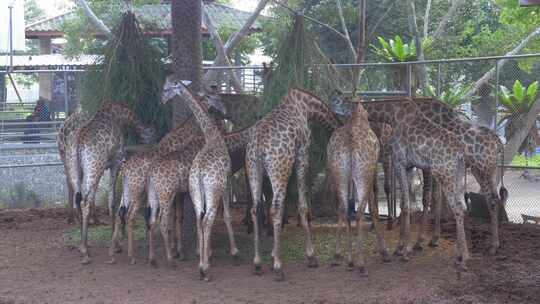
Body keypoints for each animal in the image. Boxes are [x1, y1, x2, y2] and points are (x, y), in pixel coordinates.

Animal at [66, 102, 156, 264]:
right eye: (152, 136)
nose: (152, 146)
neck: (118, 115)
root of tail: (77, 140)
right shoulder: (116, 162)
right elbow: (112, 200)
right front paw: (116, 244)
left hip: (74, 169)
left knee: (78, 200)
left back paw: (83, 245)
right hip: (94, 167)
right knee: (85, 201)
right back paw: (85, 253)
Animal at [159, 76, 229, 282]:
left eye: (167, 87)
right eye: (217, 97)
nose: (225, 111)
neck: (212, 136)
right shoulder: (226, 184)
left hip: (194, 191)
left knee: (198, 219)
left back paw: (198, 265)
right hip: (212, 192)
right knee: (207, 220)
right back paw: (204, 268)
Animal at [245, 87, 338, 280]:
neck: (306, 107)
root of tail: (258, 145)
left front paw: (273, 254)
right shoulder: (302, 154)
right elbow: (302, 205)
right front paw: (311, 256)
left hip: (254, 169)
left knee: (256, 208)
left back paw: (257, 263)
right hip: (279, 167)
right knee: (275, 207)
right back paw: (278, 268)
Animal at [324, 100, 388, 276]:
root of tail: (351, 140)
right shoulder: (371, 173)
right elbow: (373, 208)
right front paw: (384, 252)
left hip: (340, 172)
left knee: (343, 209)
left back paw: (346, 259)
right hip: (362, 173)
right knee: (359, 212)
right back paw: (361, 264)